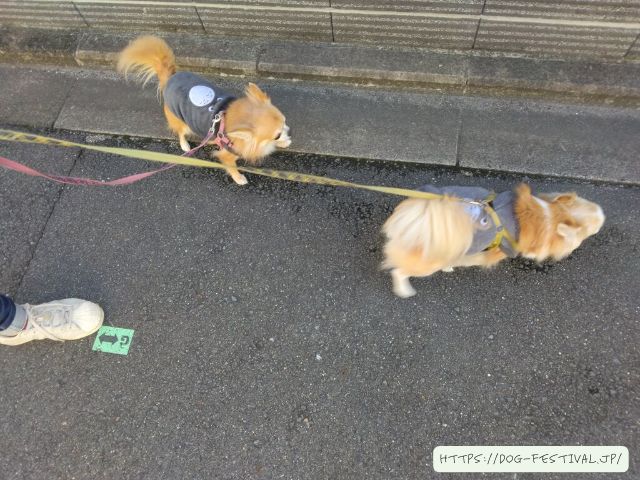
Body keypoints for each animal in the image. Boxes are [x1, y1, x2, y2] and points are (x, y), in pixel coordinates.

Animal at [116, 35, 292, 186]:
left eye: (285, 121)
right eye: (276, 135)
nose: (288, 130)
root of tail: (169, 78)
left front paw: (284, 142)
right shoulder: (227, 154)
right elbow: (231, 167)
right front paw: (239, 178)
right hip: (182, 121)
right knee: (180, 132)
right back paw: (185, 146)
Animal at [382, 183, 608, 296]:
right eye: (596, 227)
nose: (604, 216)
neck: (549, 216)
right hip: (426, 264)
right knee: (399, 271)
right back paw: (404, 290)